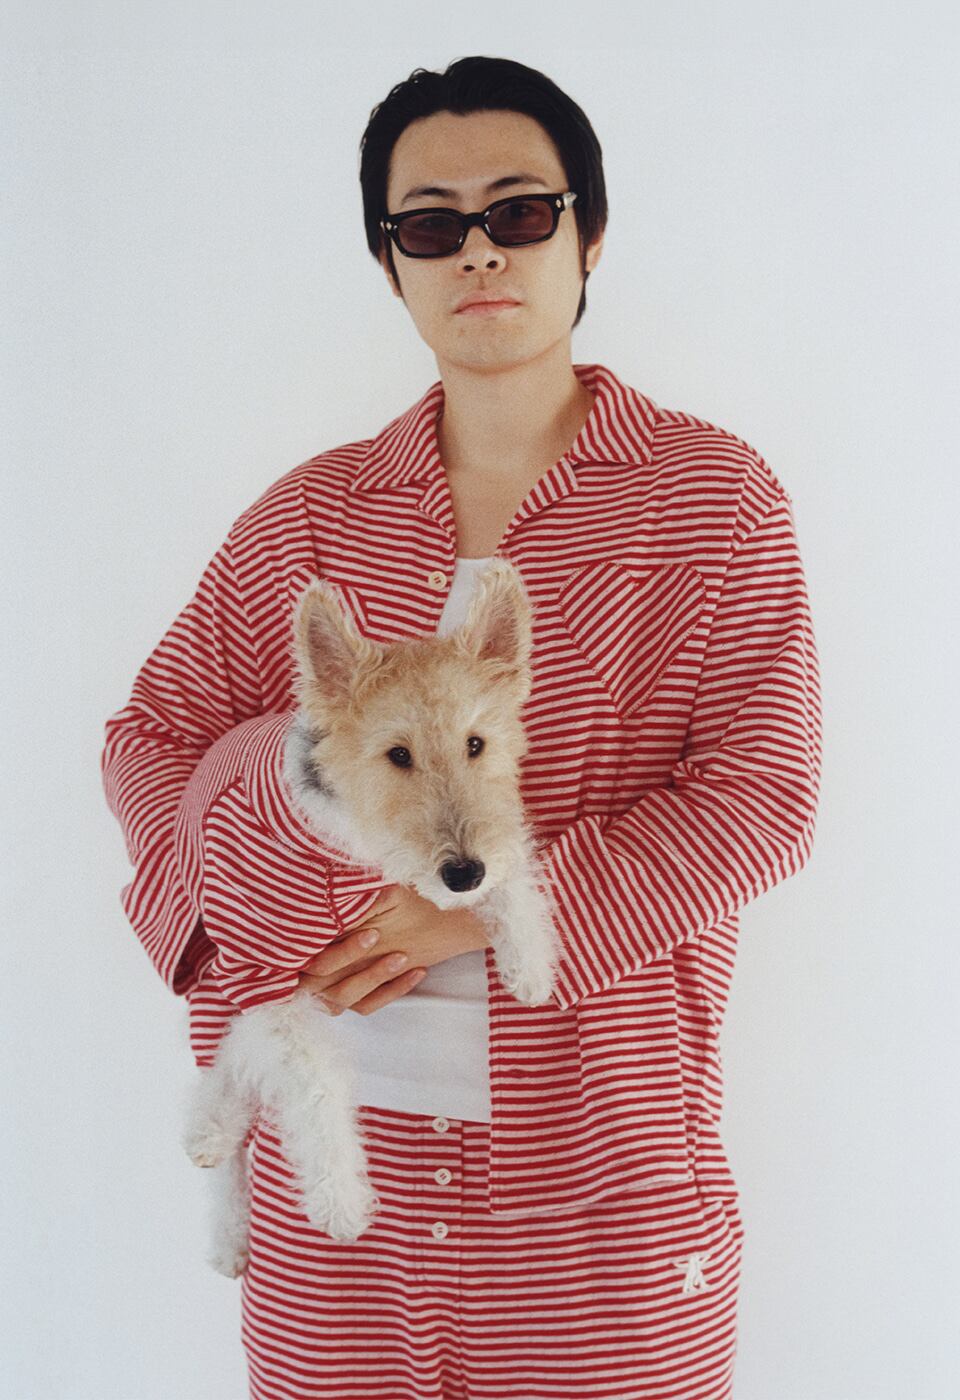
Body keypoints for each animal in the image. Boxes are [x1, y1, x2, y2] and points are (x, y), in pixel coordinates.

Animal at [181, 557, 563, 1275]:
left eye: (477, 743)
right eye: (397, 754)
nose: (463, 872)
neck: (349, 844)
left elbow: (516, 866)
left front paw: (529, 963)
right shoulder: (265, 974)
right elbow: (315, 1092)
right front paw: (342, 1206)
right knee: (223, 1068)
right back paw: (219, 1191)